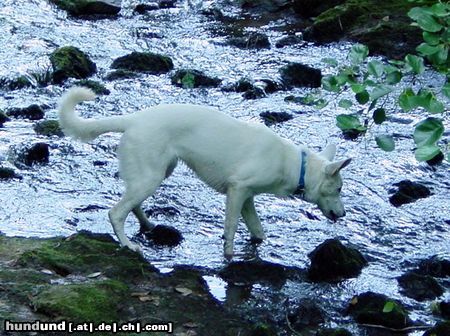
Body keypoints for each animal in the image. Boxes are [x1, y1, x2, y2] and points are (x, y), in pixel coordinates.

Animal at [58, 87, 352, 260]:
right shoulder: (237, 190)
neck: (295, 164)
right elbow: (231, 227)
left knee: (132, 203)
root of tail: (134, 119)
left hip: (156, 174)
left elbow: (257, 230)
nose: (343, 214)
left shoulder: (247, 198)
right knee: (116, 212)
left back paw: (148, 226)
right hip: (151, 178)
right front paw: (229, 255)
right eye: (338, 189)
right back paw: (129, 245)